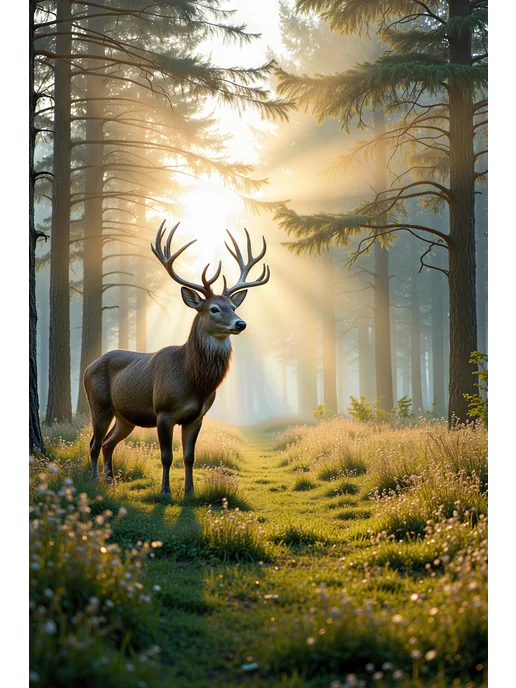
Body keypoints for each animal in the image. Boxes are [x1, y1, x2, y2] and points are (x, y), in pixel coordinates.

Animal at [83, 221, 270, 495]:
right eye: (214, 309)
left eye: (234, 307)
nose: (241, 323)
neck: (193, 381)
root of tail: (88, 367)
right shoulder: (164, 411)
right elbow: (166, 456)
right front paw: (165, 491)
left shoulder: (197, 416)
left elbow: (189, 456)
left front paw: (190, 491)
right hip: (99, 403)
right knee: (94, 443)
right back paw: (95, 480)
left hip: (125, 417)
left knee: (108, 443)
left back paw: (110, 480)